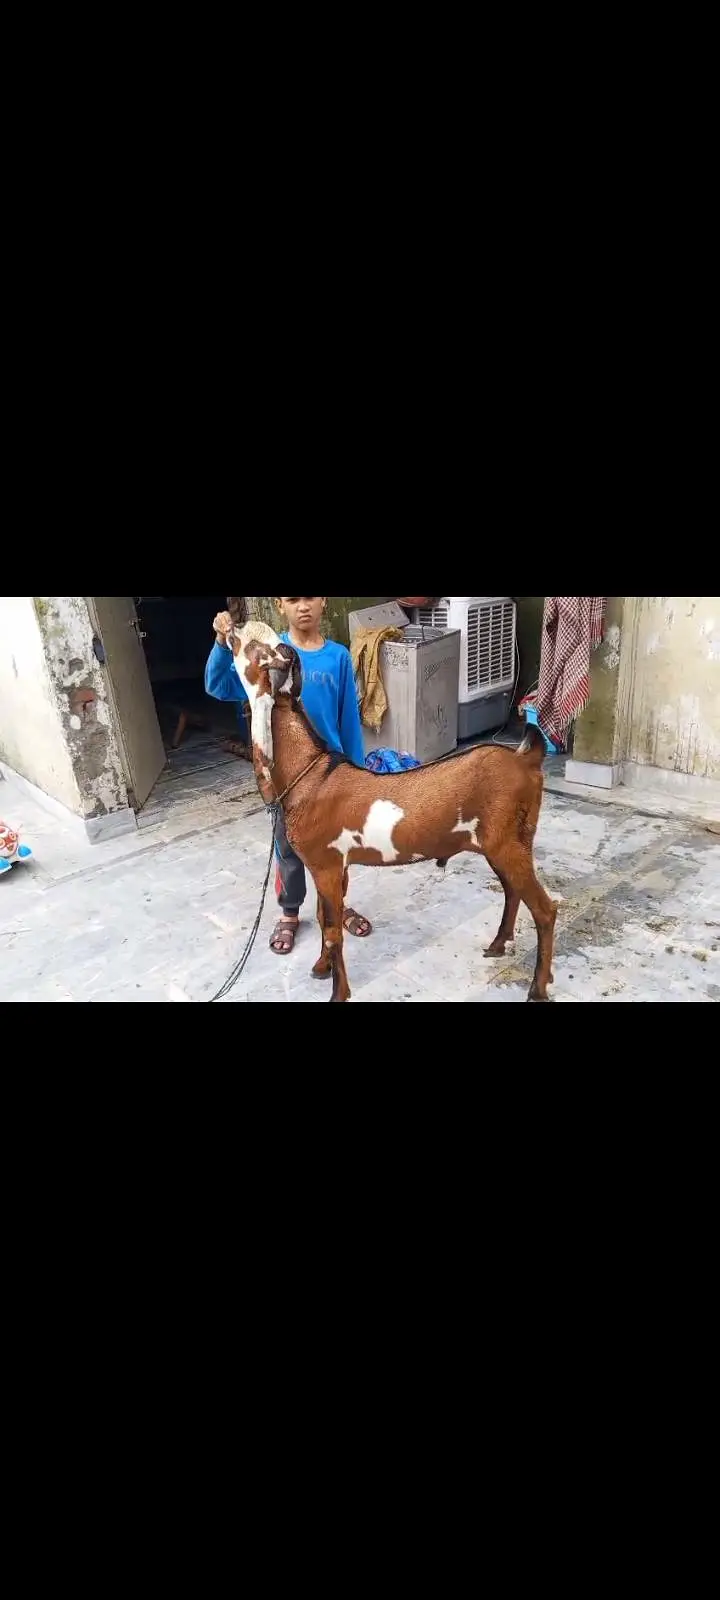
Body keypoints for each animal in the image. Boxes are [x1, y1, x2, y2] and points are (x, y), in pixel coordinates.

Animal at [229, 623, 557, 1003]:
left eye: (253, 648)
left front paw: (338, 992)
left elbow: (334, 931)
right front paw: (321, 967)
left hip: (508, 843)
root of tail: (525, 759)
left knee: (545, 910)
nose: (232, 629)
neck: (309, 774)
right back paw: (498, 944)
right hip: (503, 843)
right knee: (512, 891)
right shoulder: (327, 865)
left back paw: (537, 988)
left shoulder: (326, 865)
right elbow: (324, 919)